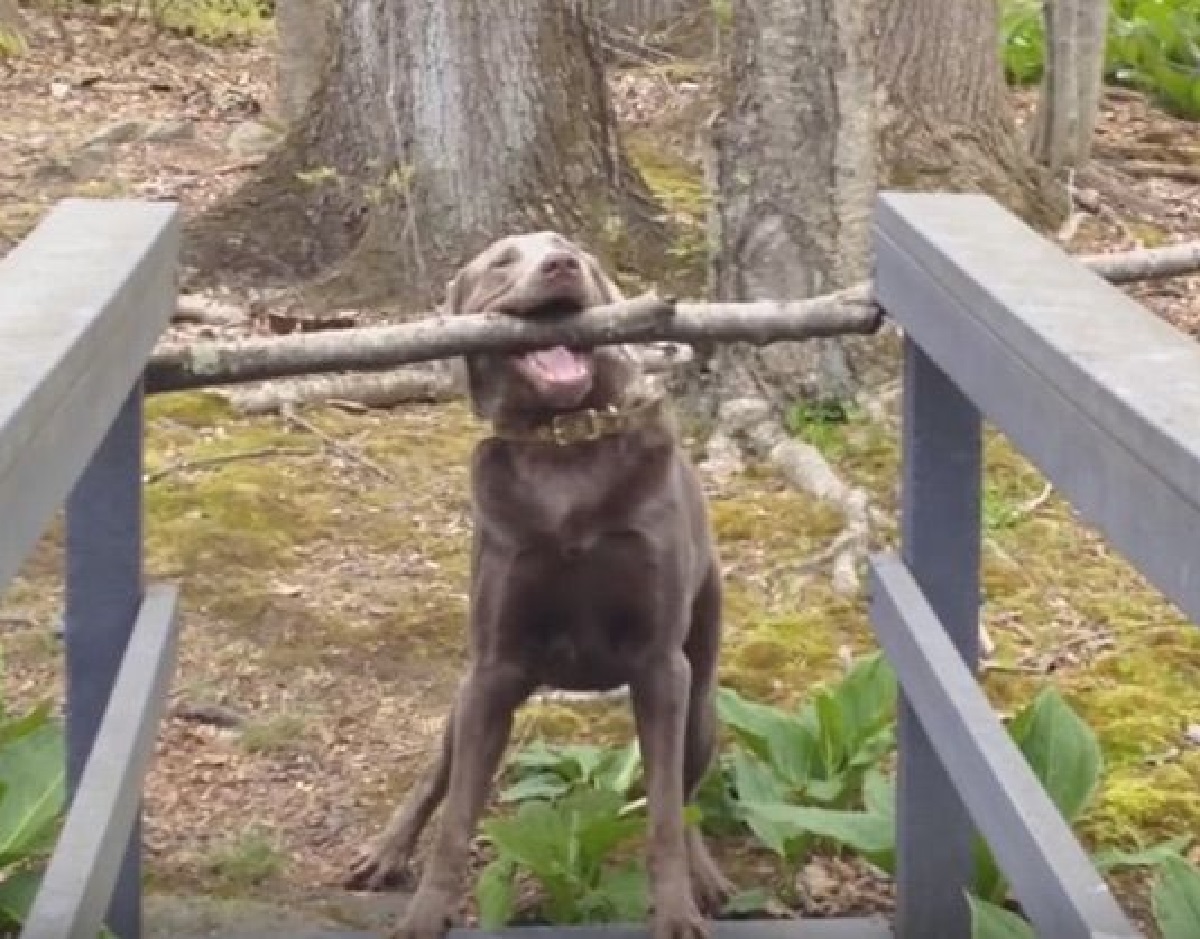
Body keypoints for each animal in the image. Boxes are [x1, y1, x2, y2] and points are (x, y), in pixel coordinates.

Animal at [348, 232, 729, 939]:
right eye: (502, 260)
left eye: (574, 250)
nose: (561, 266)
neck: (563, 447)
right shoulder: (493, 670)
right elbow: (456, 816)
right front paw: (425, 914)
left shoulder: (661, 667)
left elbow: (666, 811)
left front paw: (676, 912)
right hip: (471, 694)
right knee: (437, 772)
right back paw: (387, 849)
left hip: (703, 691)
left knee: (688, 791)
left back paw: (706, 876)